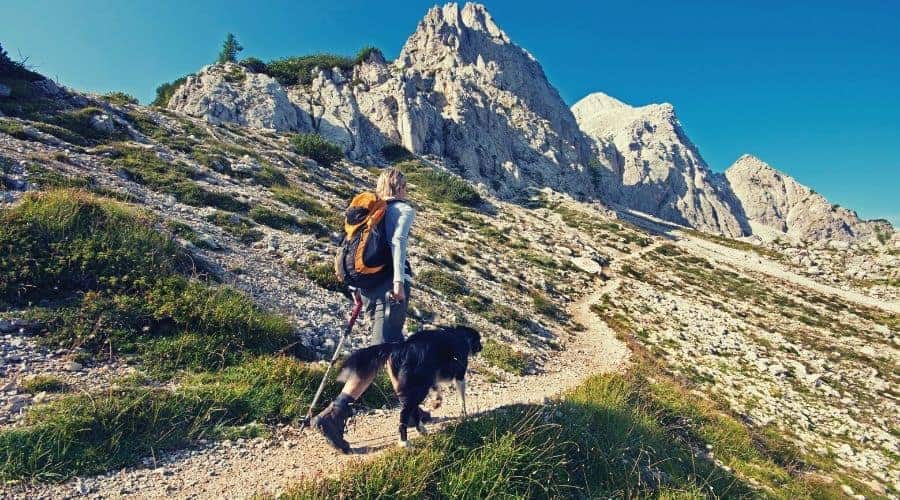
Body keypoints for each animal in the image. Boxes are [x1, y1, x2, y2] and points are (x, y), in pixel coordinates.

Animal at [338, 326, 482, 448]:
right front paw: (464, 413)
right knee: (405, 413)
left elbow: (437, 389)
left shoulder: (432, 376)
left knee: (412, 409)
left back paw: (421, 429)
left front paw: (437, 401)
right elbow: (462, 397)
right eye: (479, 340)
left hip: (414, 386)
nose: (482, 347)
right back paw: (404, 442)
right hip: (418, 388)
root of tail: (401, 347)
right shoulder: (460, 375)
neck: (461, 335)